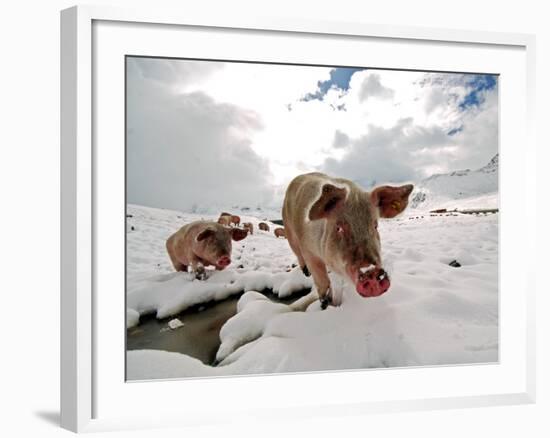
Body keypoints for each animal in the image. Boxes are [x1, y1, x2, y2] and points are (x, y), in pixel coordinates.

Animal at [284, 171, 414, 308]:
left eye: (375, 225)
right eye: (339, 228)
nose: (371, 272)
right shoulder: (308, 250)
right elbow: (322, 282)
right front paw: (325, 305)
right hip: (289, 230)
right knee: (297, 252)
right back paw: (306, 272)